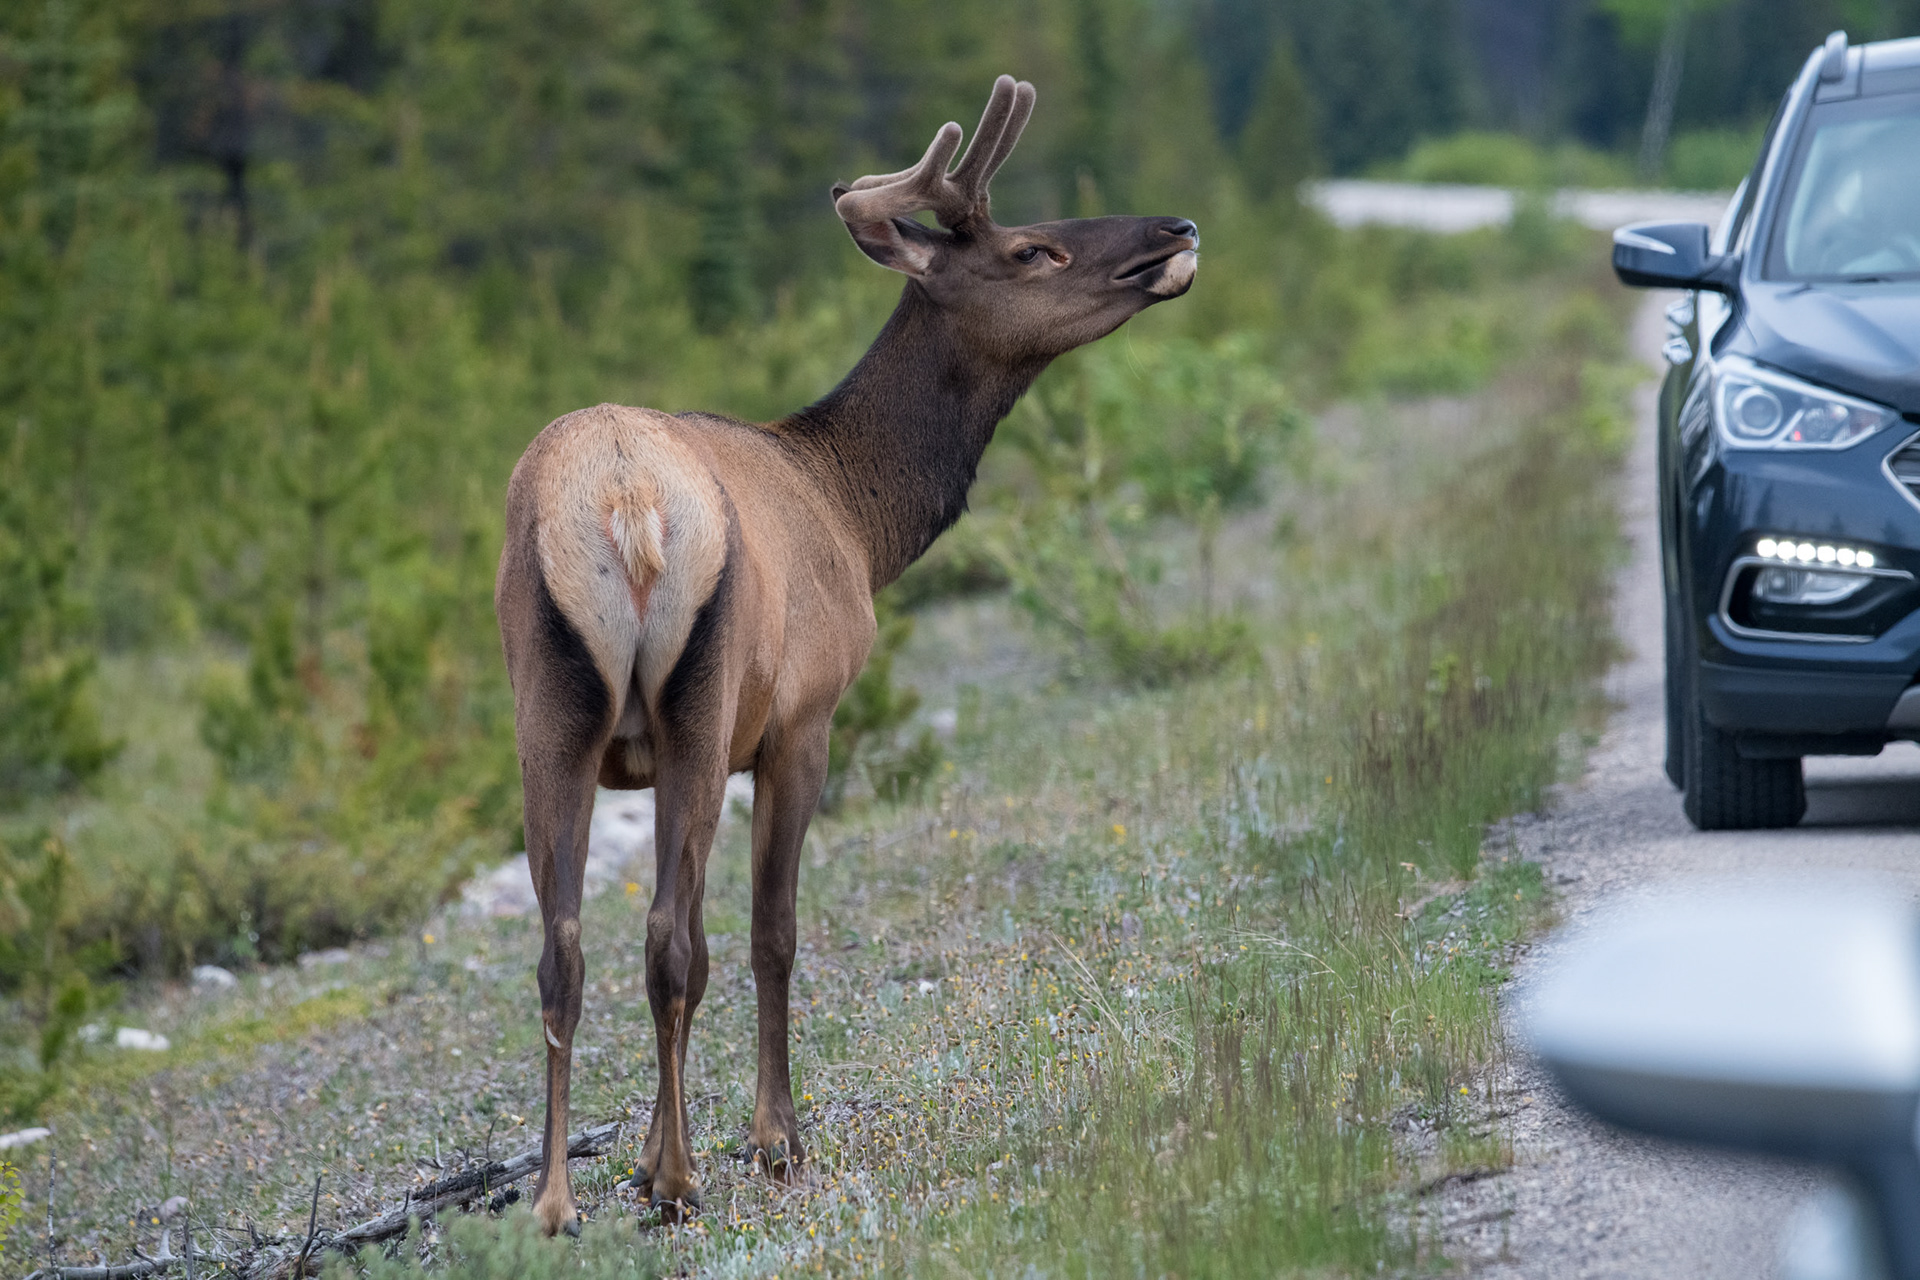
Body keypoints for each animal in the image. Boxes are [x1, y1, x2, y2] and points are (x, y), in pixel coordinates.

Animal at [494, 74, 1197, 1233]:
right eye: (1033, 249)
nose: (1176, 230)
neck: (862, 519)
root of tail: (624, 502)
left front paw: (637, 1157)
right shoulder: (802, 719)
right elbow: (772, 930)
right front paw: (772, 1137)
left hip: (548, 711)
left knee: (566, 946)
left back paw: (555, 1200)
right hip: (699, 705)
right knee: (672, 938)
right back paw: (681, 1181)